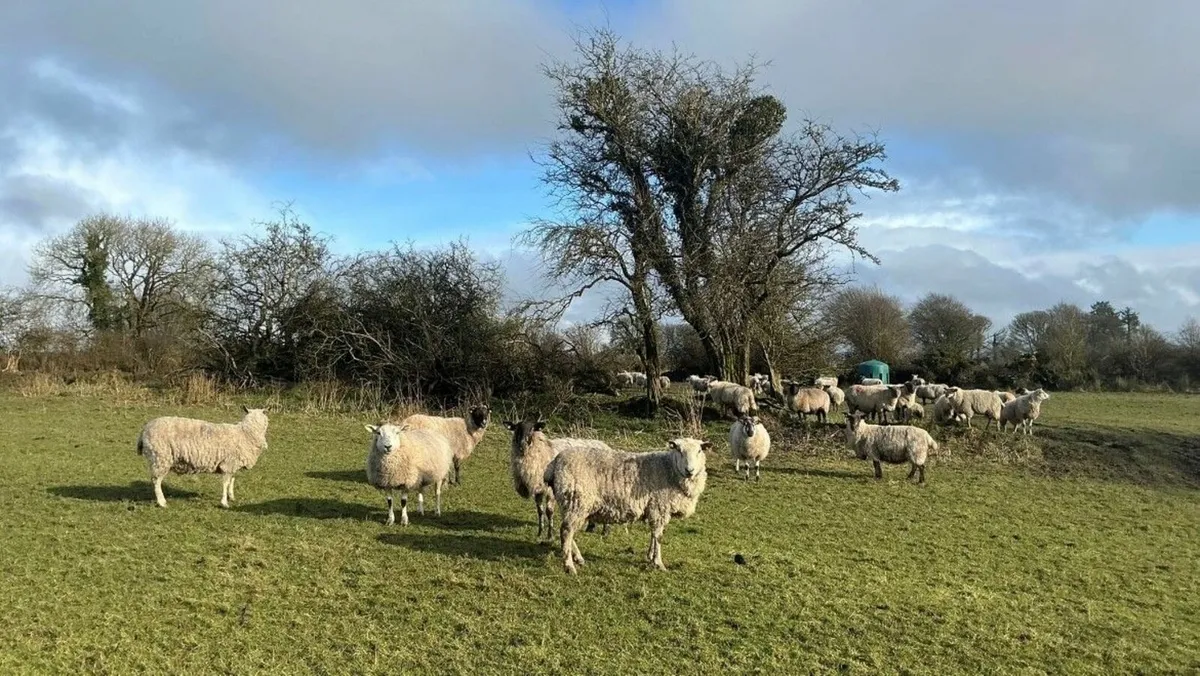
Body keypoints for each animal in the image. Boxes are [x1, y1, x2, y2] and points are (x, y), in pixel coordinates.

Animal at [136, 406, 269, 509]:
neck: (246, 433)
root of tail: (144, 430)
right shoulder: (227, 464)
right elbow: (226, 483)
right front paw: (224, 502)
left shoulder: (233, 465)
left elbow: (232, 480)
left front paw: (231, 497)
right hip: (161, 458)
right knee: (156, 481)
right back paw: (162, 502)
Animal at [543, 437, 710, 574]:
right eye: (679, 450)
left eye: (699, 450)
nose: (690, 470)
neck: (669, 469)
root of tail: (555, 463)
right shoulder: (659, 507)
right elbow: (658, 536)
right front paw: (658, 563)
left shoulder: (654, 509)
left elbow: (653, 534)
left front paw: (650, 556)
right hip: (577, 501)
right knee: (566, 531)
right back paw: (569, 566)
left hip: (570, 503)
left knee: (567, 531)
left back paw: (578, 558)